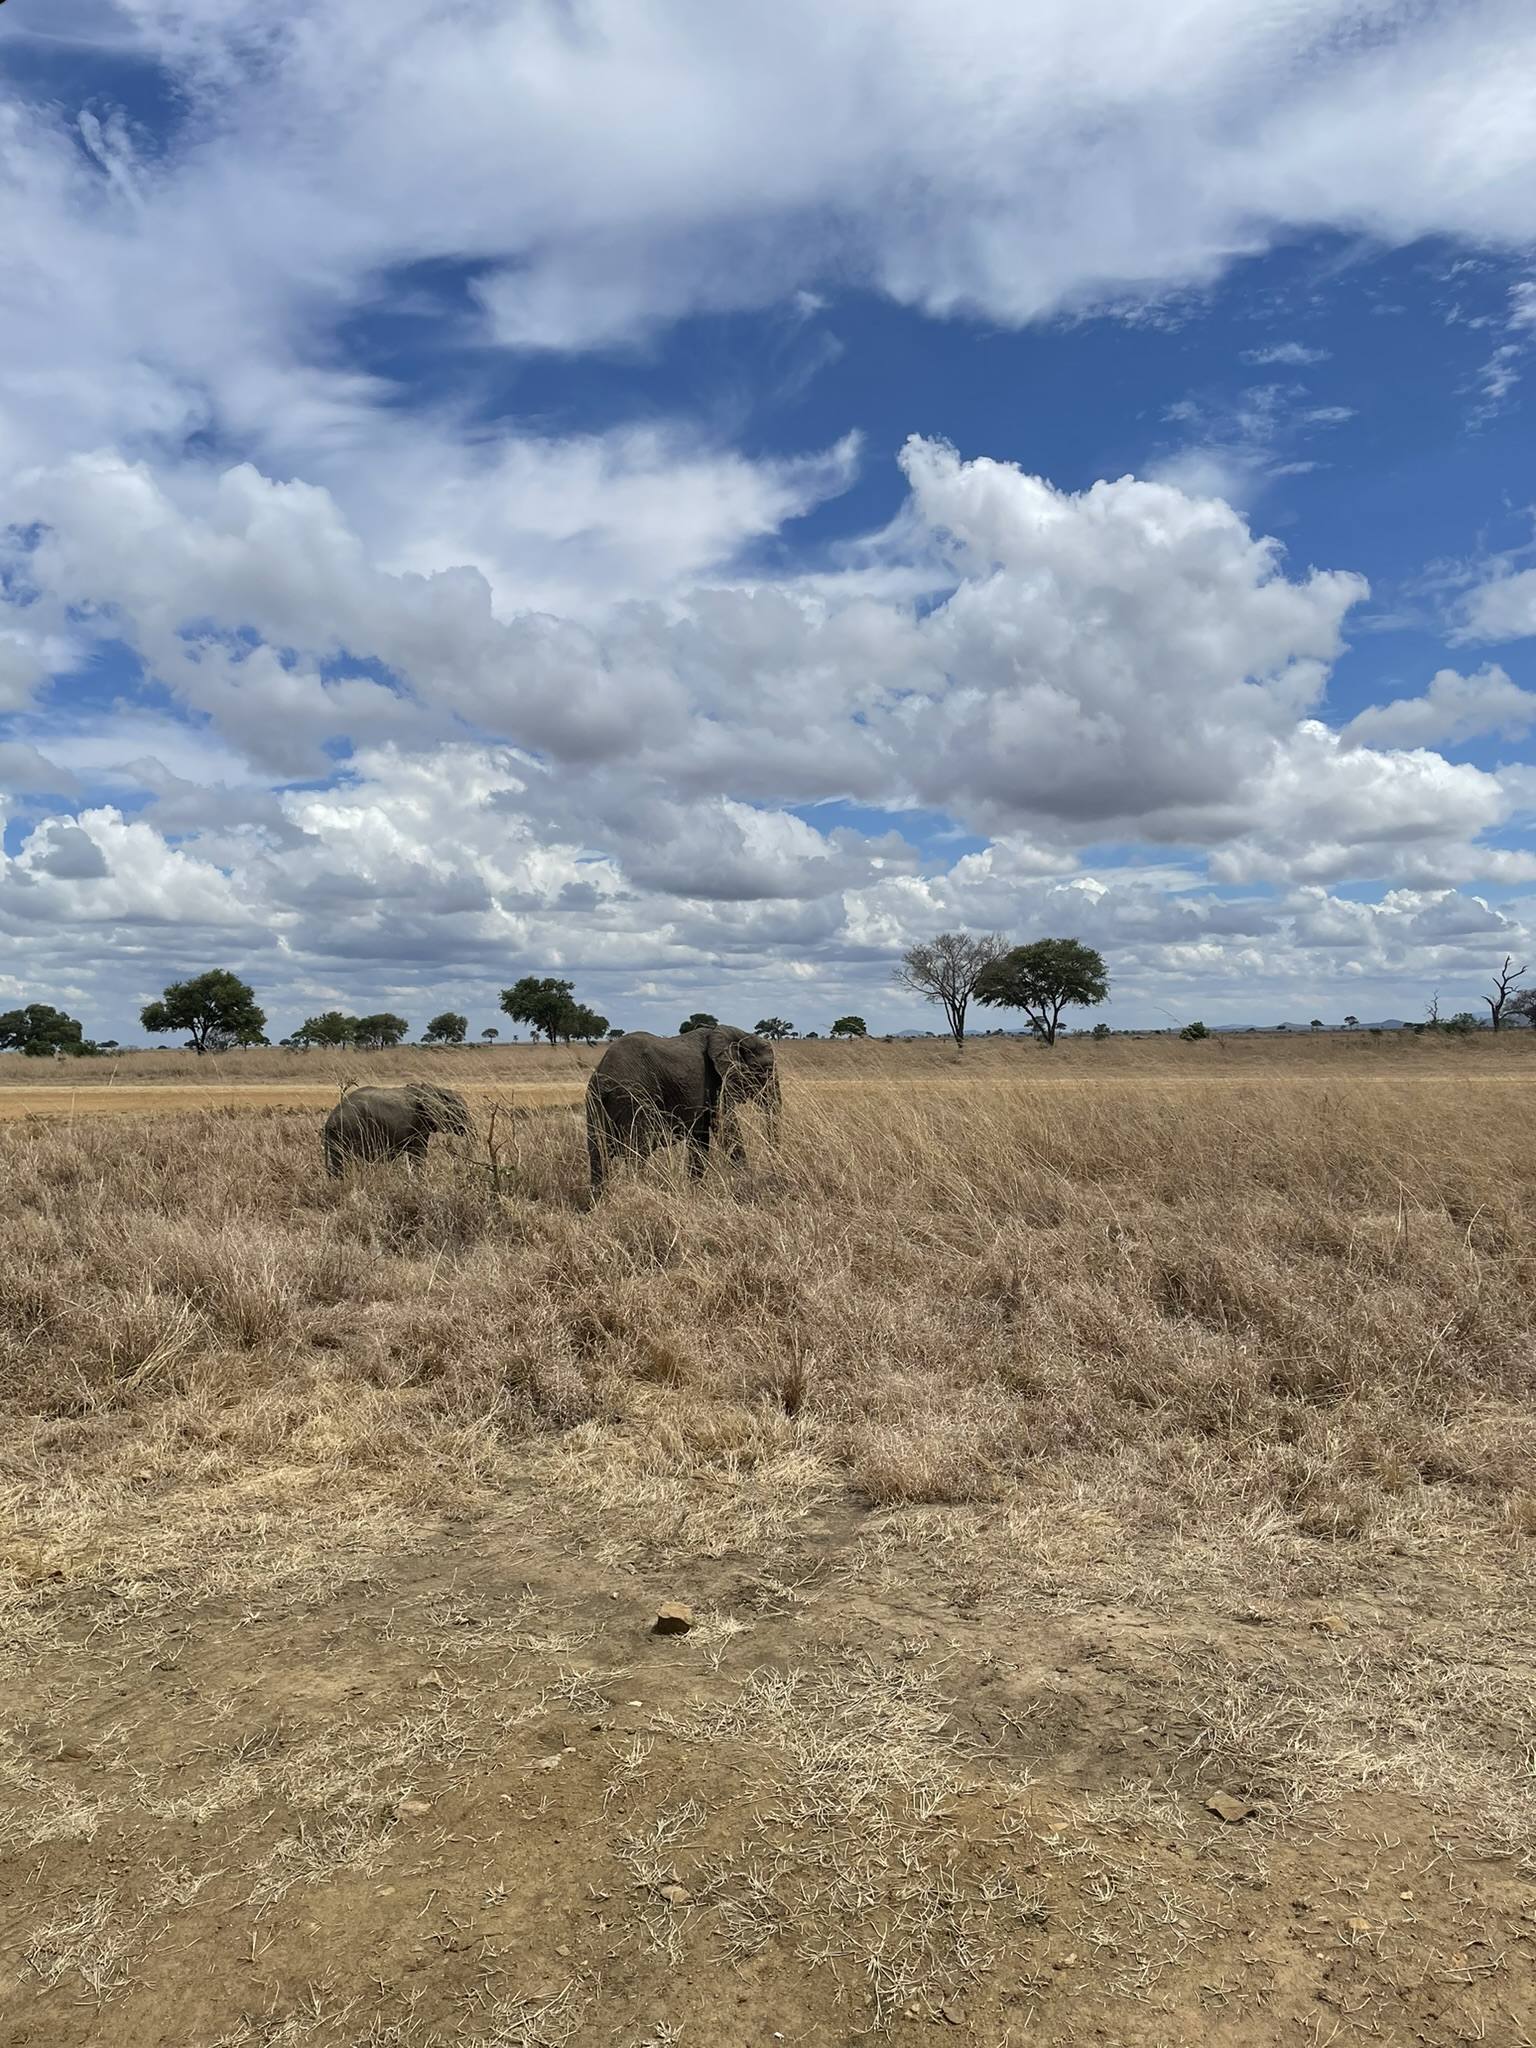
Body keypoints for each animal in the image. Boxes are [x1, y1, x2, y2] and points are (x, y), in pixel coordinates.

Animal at [322, 1084, 472, 1175]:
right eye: (462, 1113)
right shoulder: (419, 1124)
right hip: (346, 1131)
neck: (435, 1089)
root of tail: (328, 1122)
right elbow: (419, 1153)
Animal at [586, 1025, 780, 1193]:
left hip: (594, 1101)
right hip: (634, 1100)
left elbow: (701, 1138)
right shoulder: (717, 1083)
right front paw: (747, 1180)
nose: (773, 1169)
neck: (737, 1034)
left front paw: (697, 1190)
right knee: (636, 1153)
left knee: (598, 1155)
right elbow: (726, 1127)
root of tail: (605, 1078)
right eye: (765, 1069)